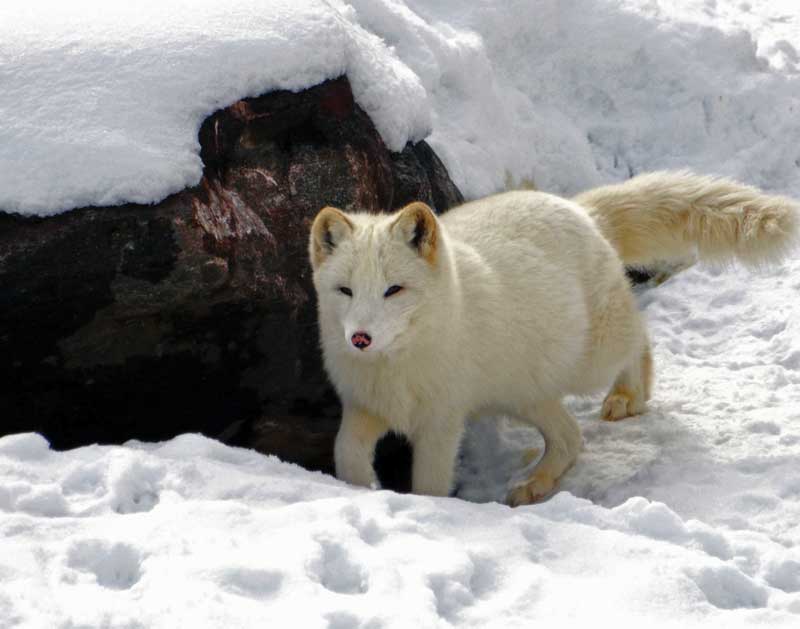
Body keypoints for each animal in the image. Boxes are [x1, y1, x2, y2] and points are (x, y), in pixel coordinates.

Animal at [308, 171, 799, 505]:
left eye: (394, 290)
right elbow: (346, 454)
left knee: (639, 337)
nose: (360, 338)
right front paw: (361, 491)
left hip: (588, 362)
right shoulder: (364, 407)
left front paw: (426, 508)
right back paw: (534, 484)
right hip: (524, 393)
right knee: (570, 438)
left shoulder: (441, 422)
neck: (397, 367)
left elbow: (429, 484)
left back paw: (629, 396)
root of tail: (581, 211)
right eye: (345, 291)